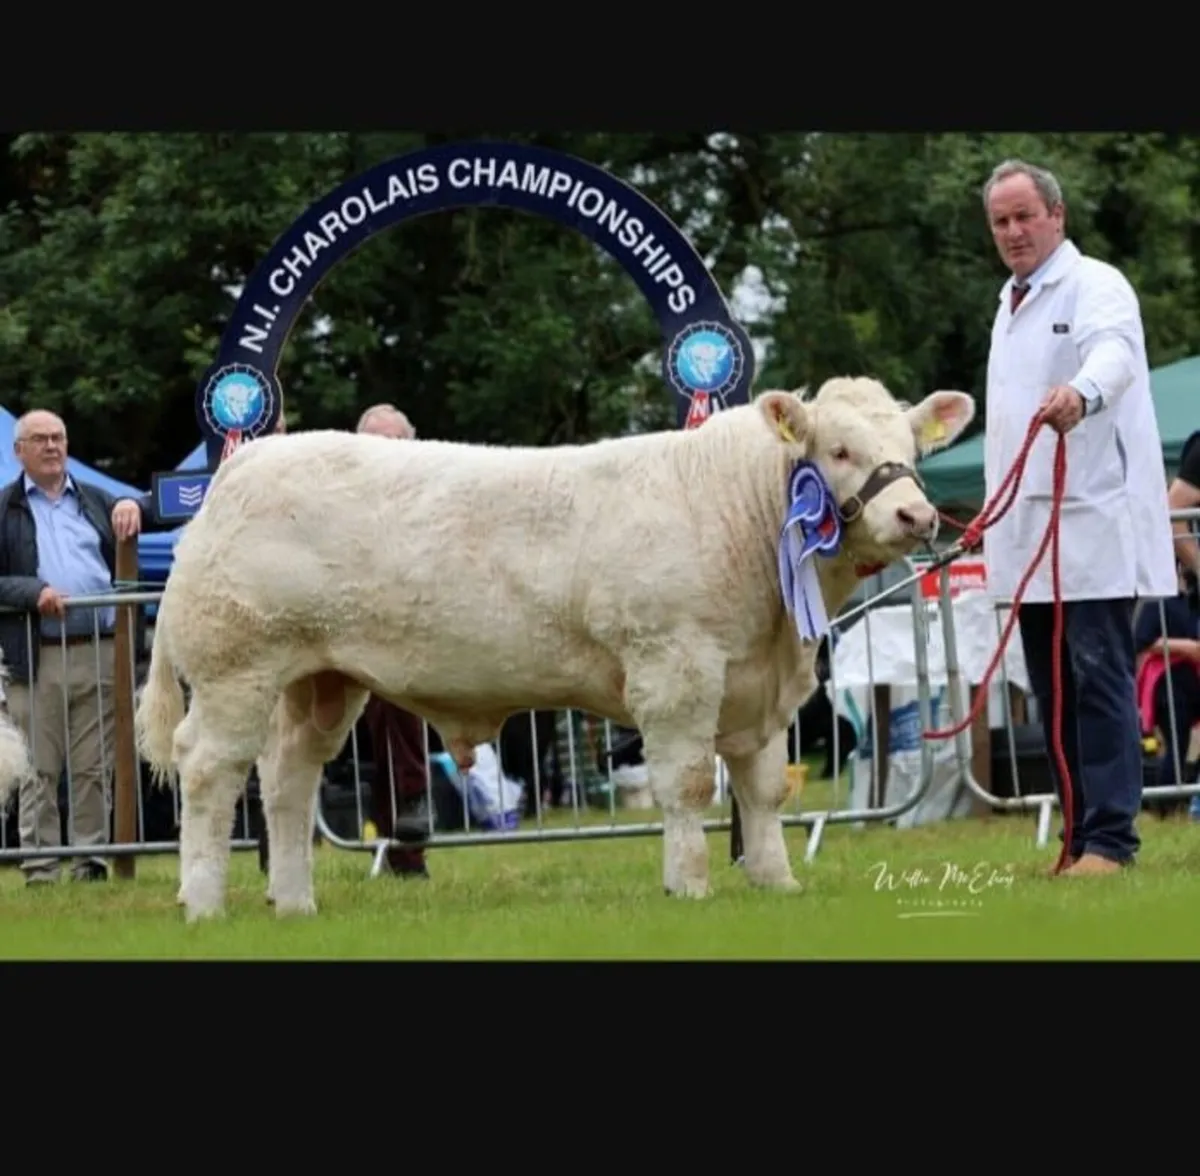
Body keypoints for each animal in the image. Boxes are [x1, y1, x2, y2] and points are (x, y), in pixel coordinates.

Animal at [134, 377, 975, 922]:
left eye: (910, 447)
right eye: (837, 449)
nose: (915, 515)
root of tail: (240, 467)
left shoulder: (759, 686)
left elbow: (762, 791)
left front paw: (776, 884)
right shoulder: (674, 668)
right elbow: (689, 786)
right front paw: (690, 885)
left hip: (321, 679)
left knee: (287, 780)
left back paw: (295, 903)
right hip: (237, 670)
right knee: (209, 770)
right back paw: (203, 903)